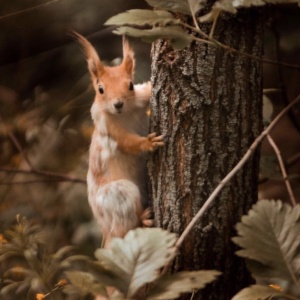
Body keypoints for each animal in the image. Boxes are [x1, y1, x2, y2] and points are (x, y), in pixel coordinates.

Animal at [75, 33, 164, 248]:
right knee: (125, 227)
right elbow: (127, 142)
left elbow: (146, 90)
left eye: (130, 85)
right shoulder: (108, 129)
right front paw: (149, 143)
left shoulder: (140, 98)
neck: (125, 114)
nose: (118, 104)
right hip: (118, 196)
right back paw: (143, 218)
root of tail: (106, 230)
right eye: (100, 89)